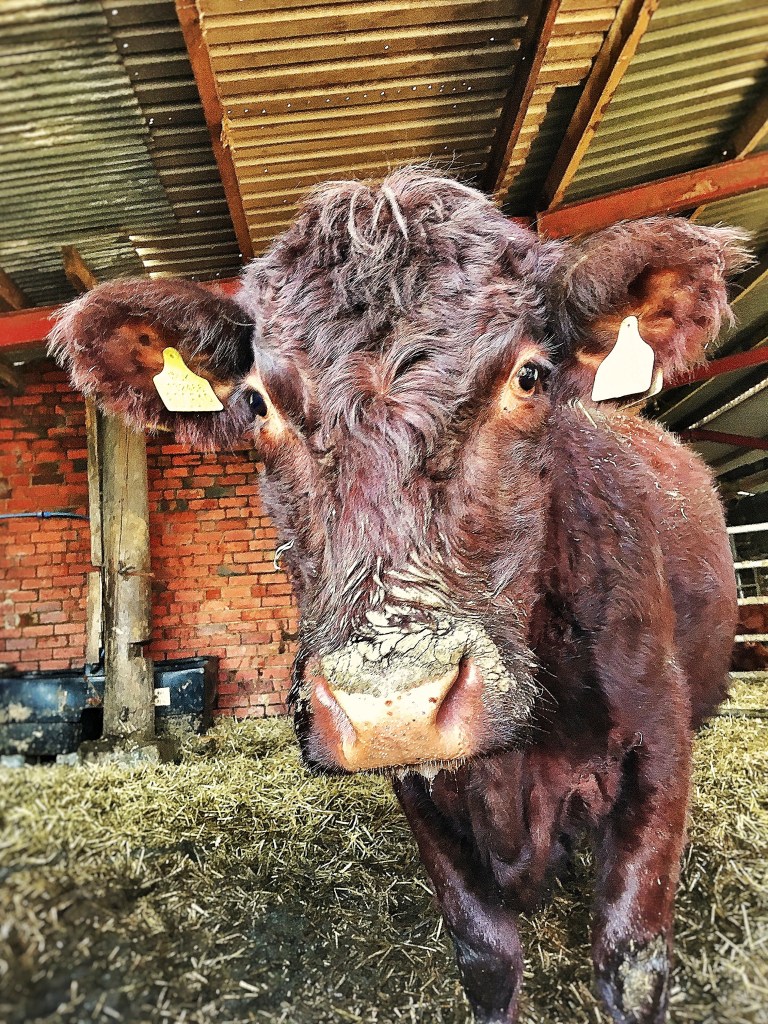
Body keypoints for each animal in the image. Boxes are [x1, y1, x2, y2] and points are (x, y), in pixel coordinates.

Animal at [50, 168, 749, 1024]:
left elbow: (632, 959)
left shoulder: (658, 748)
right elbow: (485, 953)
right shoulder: (423, 792)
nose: (395, 702)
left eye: (529, 375)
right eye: (258, 403)